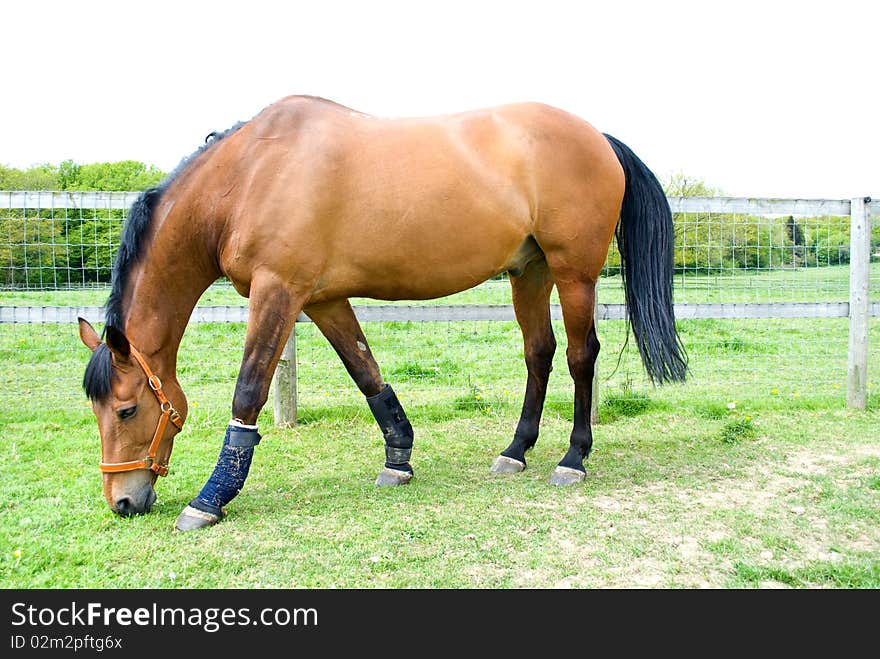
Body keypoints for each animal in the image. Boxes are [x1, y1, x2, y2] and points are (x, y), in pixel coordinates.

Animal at [77, 95, 688, 532]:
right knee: (539, 353)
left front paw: (210, 499)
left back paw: (573, 458)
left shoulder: (277, 292)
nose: (123, 502)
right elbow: (365, 372)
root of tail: (598, 137)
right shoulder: (321, 298)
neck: (250, 175)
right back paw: (515, 451)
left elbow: (248, 391)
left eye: (128, 410)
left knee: (583, 357)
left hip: (573, 273)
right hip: (529, 272)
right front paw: (399, 457)